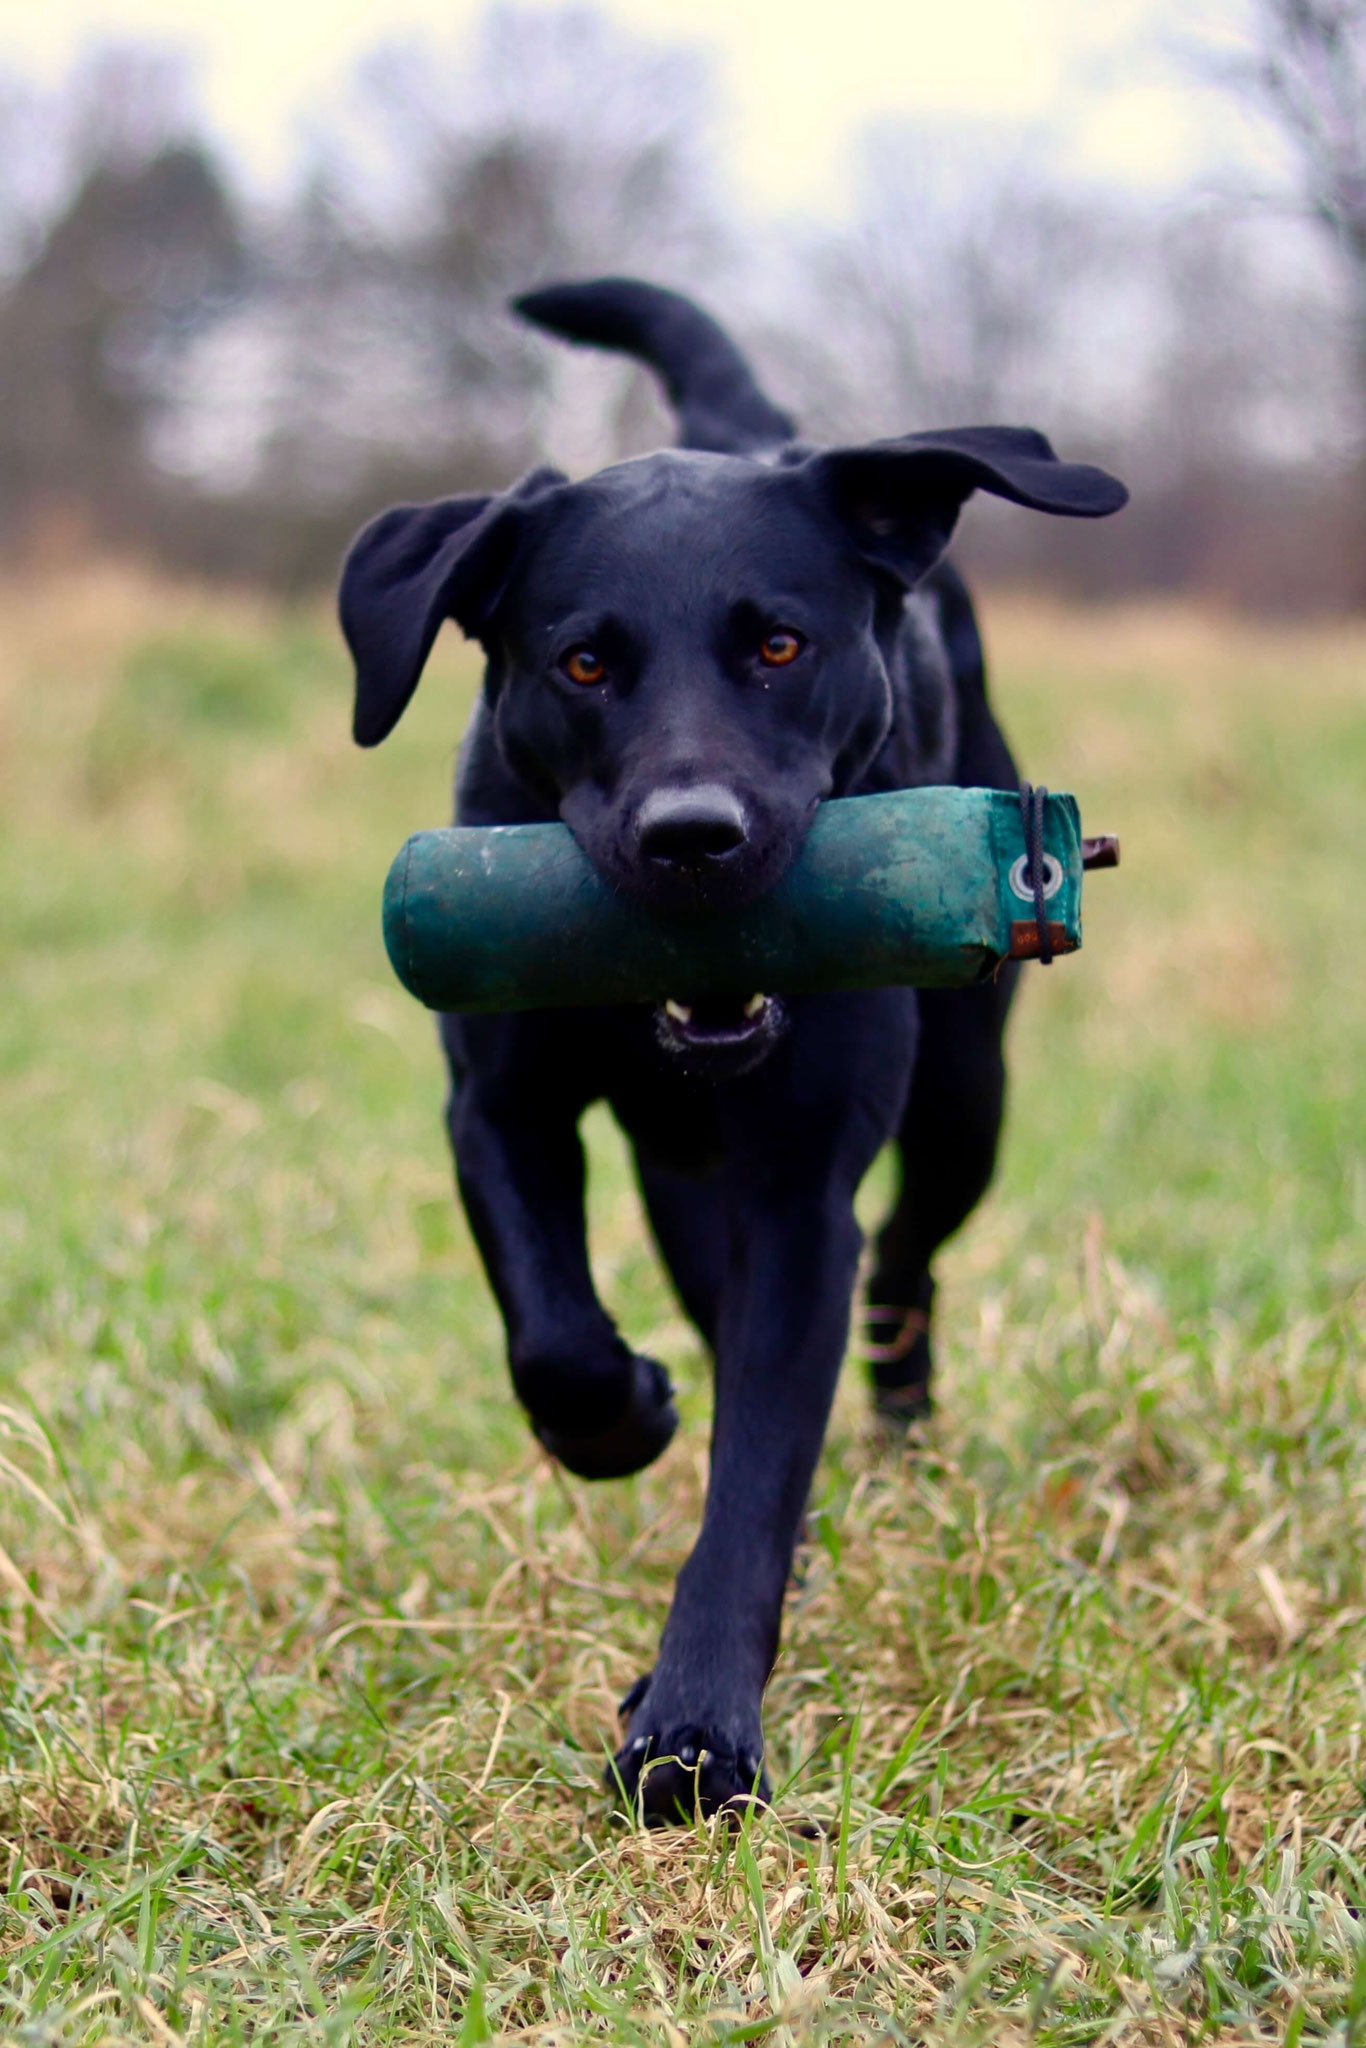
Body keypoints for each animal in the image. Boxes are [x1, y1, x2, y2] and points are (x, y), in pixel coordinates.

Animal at [339, 276, 1122, 1826]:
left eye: (778, 645)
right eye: (583, 659)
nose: (690, 838)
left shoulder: (801, 1192)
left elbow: (757, 1462)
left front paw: (695, 1730)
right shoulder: (499, 1108)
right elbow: (557, 1342)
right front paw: (627, 1416)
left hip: (966, 1098)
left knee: (901, 1268)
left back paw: (897, 1428)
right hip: (677, 1176)